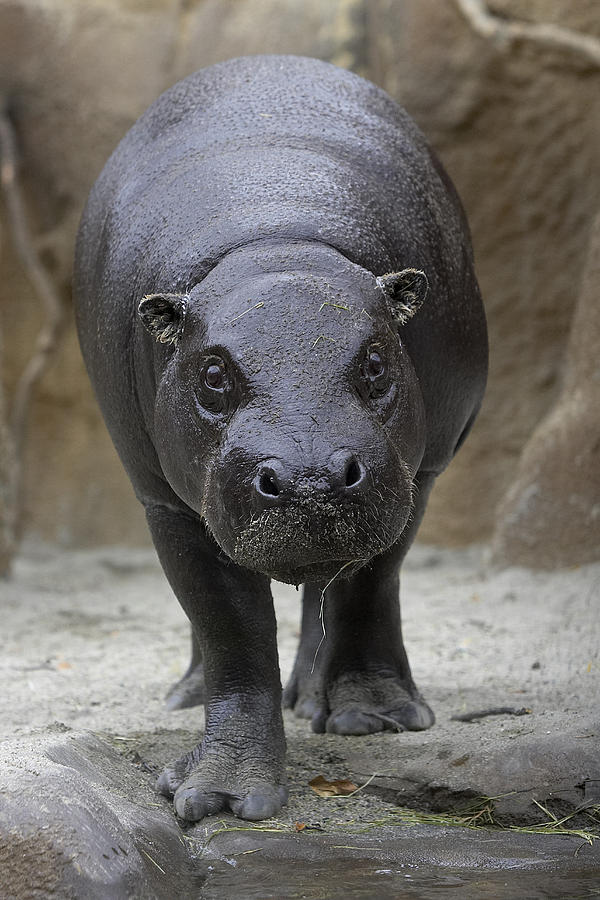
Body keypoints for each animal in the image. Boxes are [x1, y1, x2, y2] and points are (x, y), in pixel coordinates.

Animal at [74, 55, 487, 822]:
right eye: (211, 372)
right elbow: (229, 627)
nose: (309, 477)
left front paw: (375, 719)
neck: (277, 246)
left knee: (333, 588)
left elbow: (367, 583)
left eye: (376, 361)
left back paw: (314, 698)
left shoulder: (417, 476)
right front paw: (216, 796)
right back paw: (189, 696)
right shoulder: (167, 502)